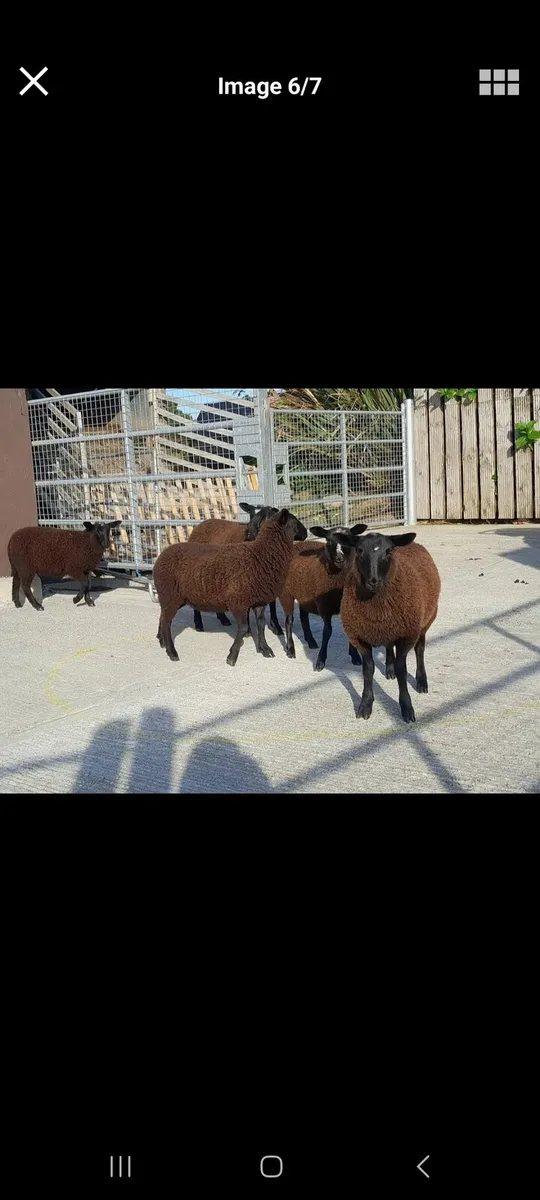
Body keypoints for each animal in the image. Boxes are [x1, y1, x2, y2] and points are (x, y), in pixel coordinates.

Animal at [153, 508, 300, 666]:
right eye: (295, 522)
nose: (305, 533)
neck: (260, 555)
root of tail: (161, 555)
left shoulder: (258, 601)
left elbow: (261, 624)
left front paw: (265, 649)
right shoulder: (238, 601)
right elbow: (243, 627)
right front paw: (232, 656)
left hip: (173, 596)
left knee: (163, 616)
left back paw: (162, 641)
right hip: (171, 595)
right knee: (167, 621)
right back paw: (172, 651)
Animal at [188, 502, 308, 633]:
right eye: (250, 517)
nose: (249, 535)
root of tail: (201, 524)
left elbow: (272, 604)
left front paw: (276, 626)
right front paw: (248, 629)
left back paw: (223, 619)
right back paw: (199, 624)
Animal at [279, 524, 367, 671]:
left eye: (349, 540)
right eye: (329, 541)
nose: (339, 559)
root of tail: (297, 545)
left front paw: (355, 656)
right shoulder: (324, 607)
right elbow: (327, 632)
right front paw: (320, 661)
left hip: (304, 594)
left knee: (303, 617)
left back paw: (311, 641)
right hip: (286, 593)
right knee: (289, 620)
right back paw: (291, 649)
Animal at [340, 531, 441, 723]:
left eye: (388, 551)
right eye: (359, 551)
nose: (373, 581)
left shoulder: (406, 635)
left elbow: (403, 670)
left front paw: (407, 708)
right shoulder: (360, 637)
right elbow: (368, 670)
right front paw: (365, 705)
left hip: (424, 622)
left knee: (420, 651)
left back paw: (421, 681)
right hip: (390, 628)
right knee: (388, 645)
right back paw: (389, 669)